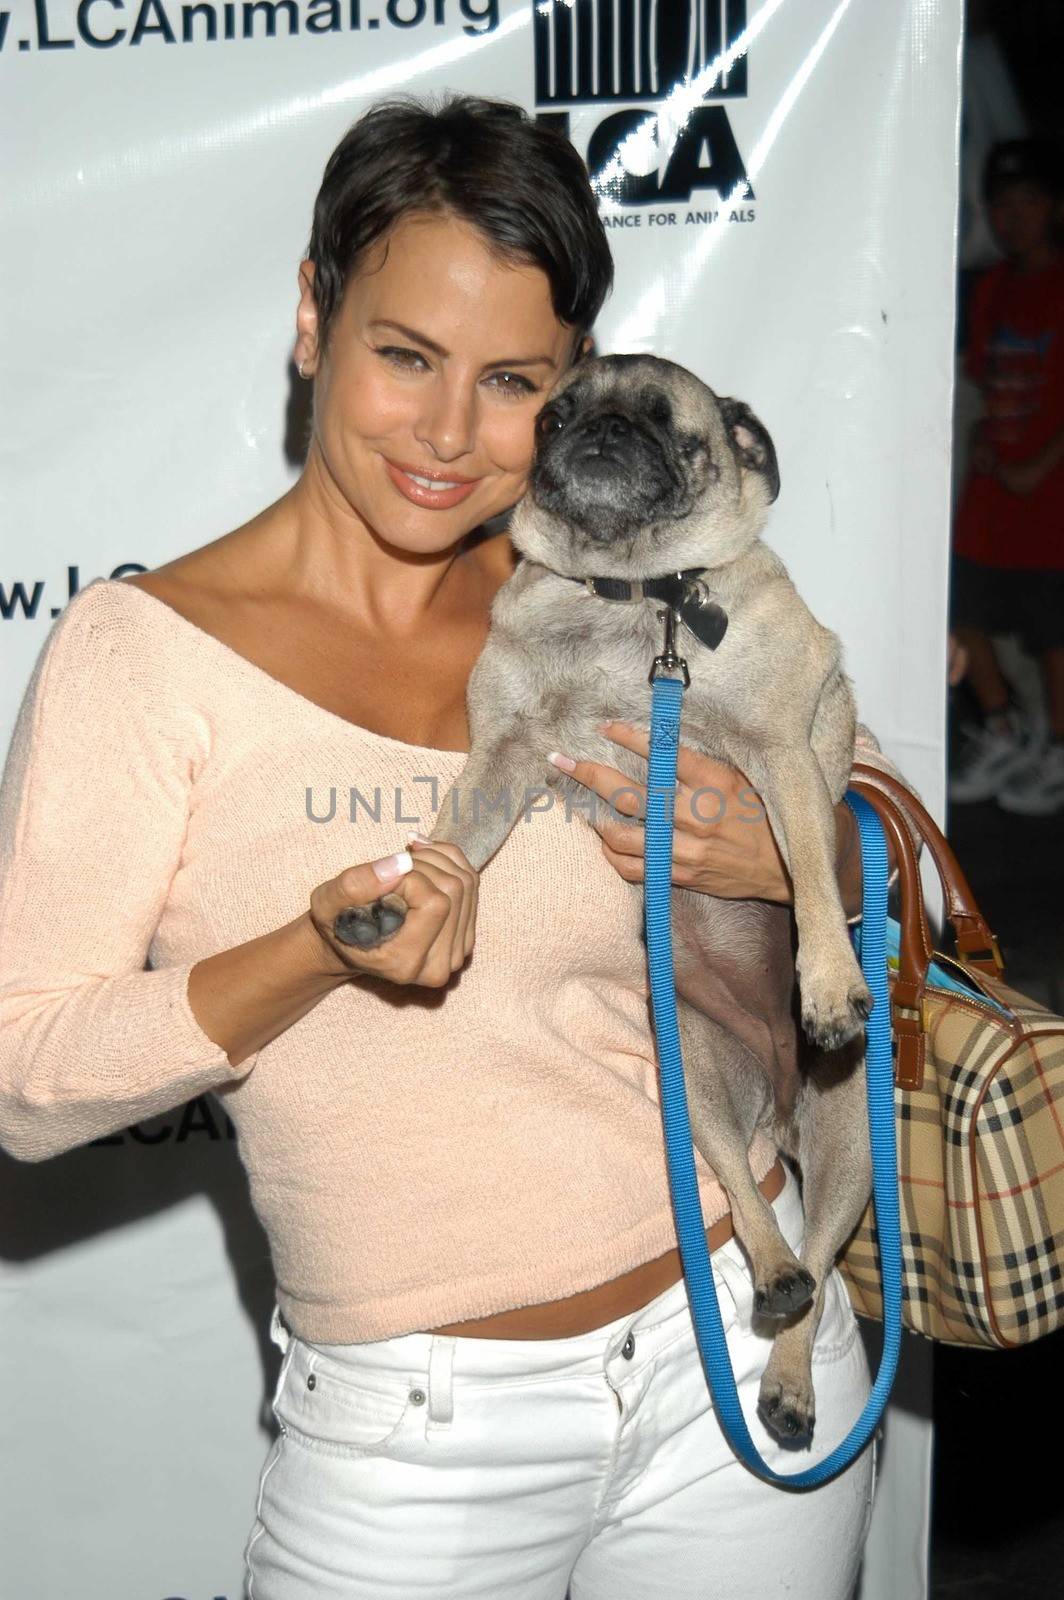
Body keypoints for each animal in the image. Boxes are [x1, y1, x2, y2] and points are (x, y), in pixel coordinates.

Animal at [337, 353, 870, 1452]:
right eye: (554, 415)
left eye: (668, 424)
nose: (603, 433)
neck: (637, 599)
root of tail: (780, 1107)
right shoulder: (501, 756)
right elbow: (450, 846)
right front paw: (406, 906)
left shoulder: (780, 756)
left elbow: (806, 871)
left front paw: (828, 979)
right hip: (690, 1085)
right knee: (754, 1213)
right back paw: (773, 1278)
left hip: (851, 1148)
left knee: (826, 1252)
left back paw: (791, 1381)